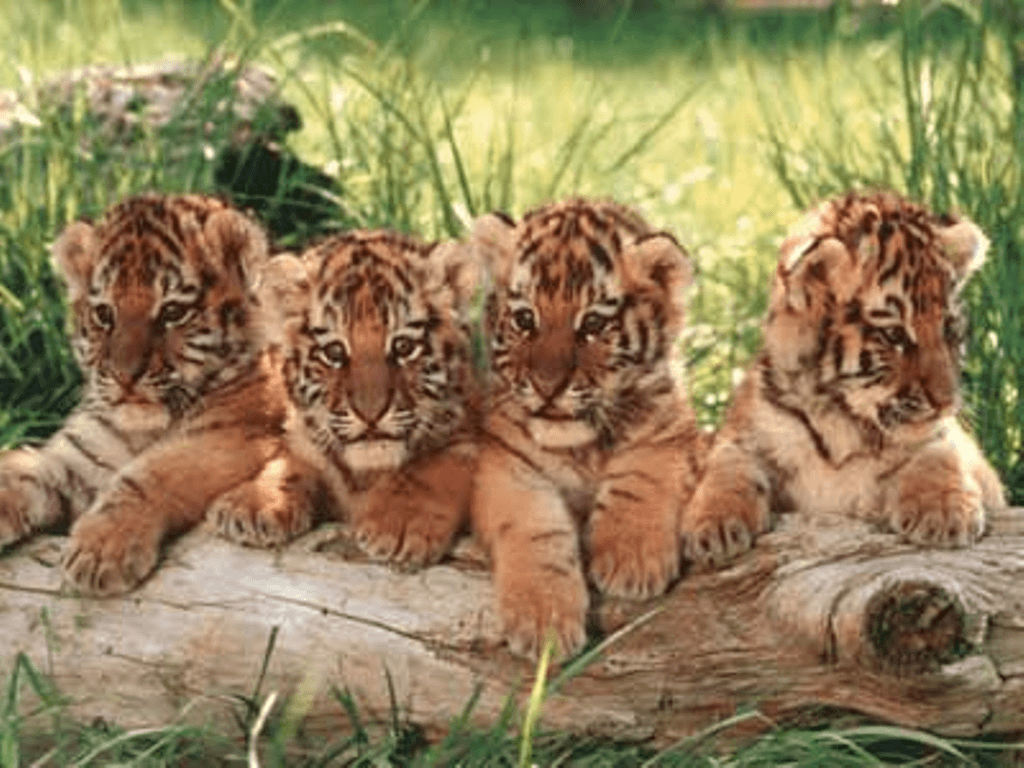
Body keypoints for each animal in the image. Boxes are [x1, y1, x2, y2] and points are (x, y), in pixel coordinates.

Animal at [0, 193, 293, 595]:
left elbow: (148, 474)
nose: (125, 376)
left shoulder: (230, 438)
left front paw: (101, 549)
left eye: (173, 311)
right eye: (104, 314)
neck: (141, 429)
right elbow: (23, 469)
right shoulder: (77, 458)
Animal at [206, 229, 481, 566]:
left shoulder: (469, 439)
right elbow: (289, 463)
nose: (371, 413)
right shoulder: (306, 443)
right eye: (334, 352)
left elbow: (429, 469)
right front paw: (251, 503)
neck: (365, 473)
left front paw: (397, 526)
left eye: (403, 347)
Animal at [469, 198, 708, 659]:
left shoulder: (672, 434)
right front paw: (543, 620)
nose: (547, 386)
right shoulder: (503, 463)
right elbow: (536, 526)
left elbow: (642, 478)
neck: (580, 446)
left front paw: (631, 559)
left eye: (594, 324)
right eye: (525, 319)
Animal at [681, 190, 1006, 569]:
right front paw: (713, 527)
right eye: (894, 335)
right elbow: (728, 468)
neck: (841, 421)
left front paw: (943, 513)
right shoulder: (743, 435)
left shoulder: (941, 440)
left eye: (949, 330)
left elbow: (940, 454)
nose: (947, 402)